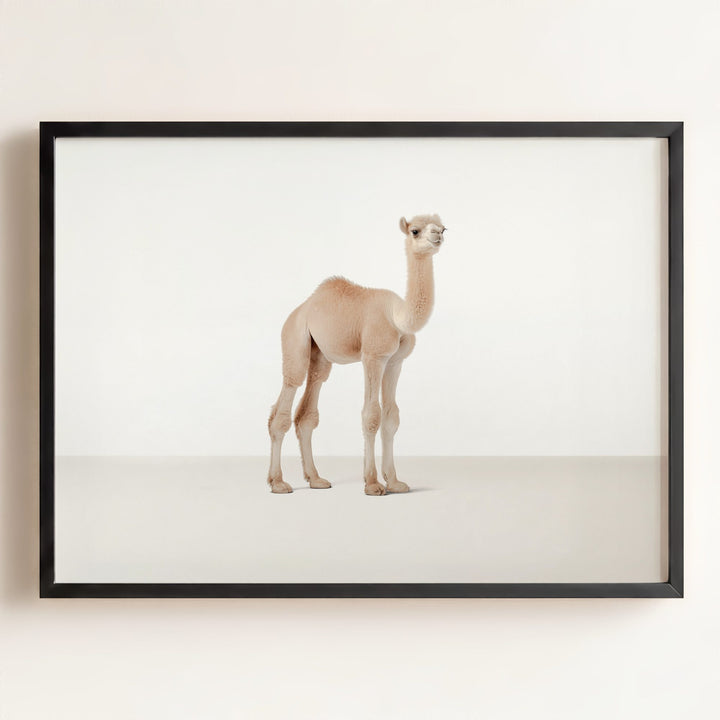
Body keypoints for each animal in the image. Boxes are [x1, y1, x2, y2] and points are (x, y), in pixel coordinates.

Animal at [267, 213, 445, 495]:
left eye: (443, 227)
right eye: (415, 231)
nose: (437, 234)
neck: (397, 316)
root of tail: (301, 309)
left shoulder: (395, 361)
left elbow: (391, 417)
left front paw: (395, 482)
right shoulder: (373, 356)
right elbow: (371, 415)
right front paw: (372, 483)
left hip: (320, 355)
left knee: (308, 409)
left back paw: (316, 479)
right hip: (294, 338)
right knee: (286, 398)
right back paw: (278, 482)